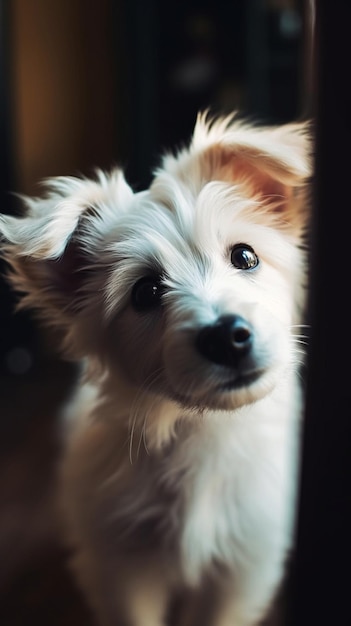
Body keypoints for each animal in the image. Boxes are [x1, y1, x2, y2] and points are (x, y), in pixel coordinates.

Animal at [0, 113, 314, 624]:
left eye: (245, 256)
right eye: (145, 292)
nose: (227, 336)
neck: (202, 430)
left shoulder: (242, 569)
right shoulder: (122, 568)